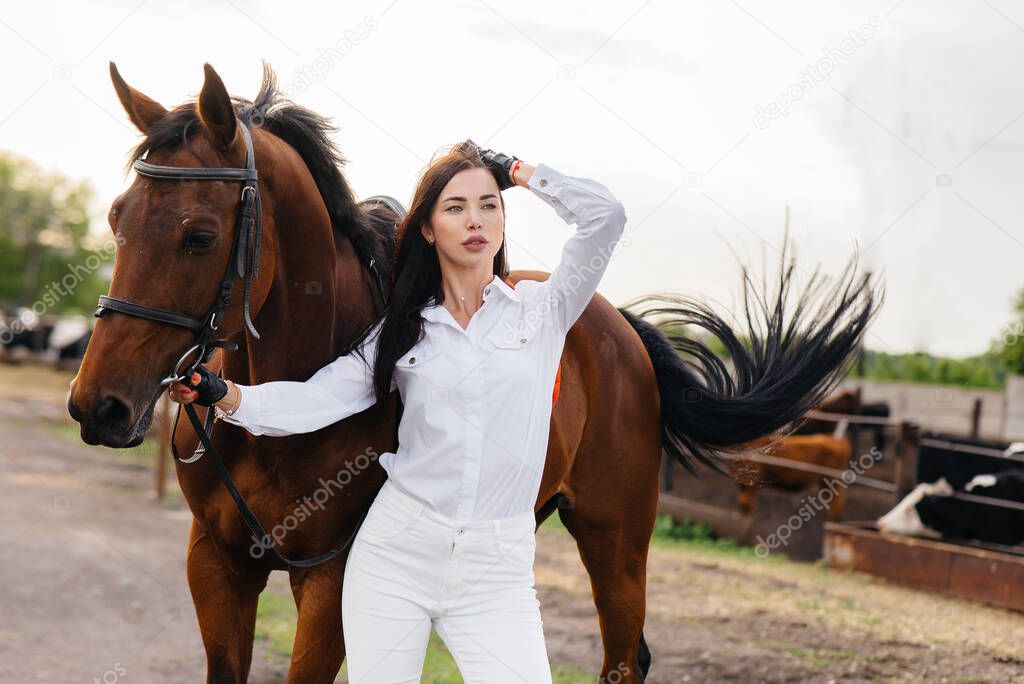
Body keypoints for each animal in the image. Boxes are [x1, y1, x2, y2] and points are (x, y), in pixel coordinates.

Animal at [68, 61, 876, 679]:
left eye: (200, 235)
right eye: (115, 217)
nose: (97, 405)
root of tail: (619, 326)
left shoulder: (330, 579)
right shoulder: (216, 564)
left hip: (615, 540)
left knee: (624, 658)